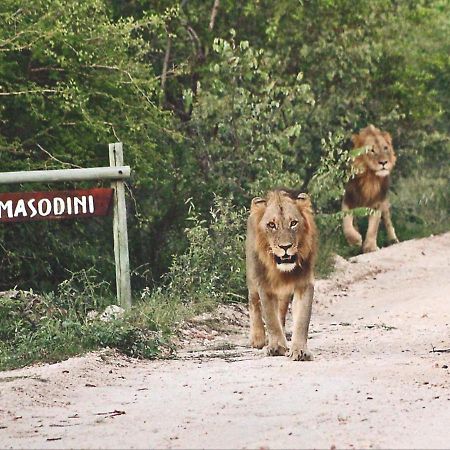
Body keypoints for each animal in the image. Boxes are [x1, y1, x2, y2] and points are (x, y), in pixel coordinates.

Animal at [246, 188, 316, 360]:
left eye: (294, 223)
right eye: (271, 225)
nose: (286, 247)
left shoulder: (304, 283)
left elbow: (302, 319)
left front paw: (299, 350)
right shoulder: (264, 285)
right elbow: (270, 318)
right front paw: (277, 347)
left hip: (284, 294)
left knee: (281, 312)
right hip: (252, 276)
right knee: (253, 302)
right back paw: (257, 338)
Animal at [342, 125, 400, 253]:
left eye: (385, 148)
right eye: (371, 150)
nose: (383, 162)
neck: (370, 177)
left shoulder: (377, 203)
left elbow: (373, 228)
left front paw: (370, 247)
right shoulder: (348, 198)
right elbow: (346, 223)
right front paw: (355, 240)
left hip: (385, 202)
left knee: (387, 219)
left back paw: (394, 240)